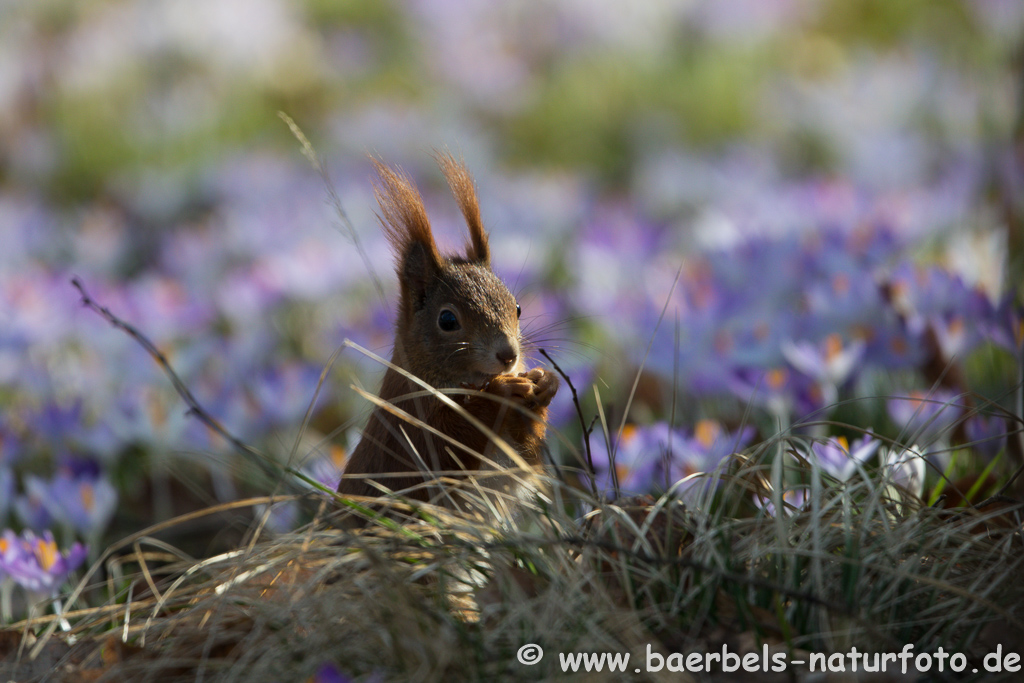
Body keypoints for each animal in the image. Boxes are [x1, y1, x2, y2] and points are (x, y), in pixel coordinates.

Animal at [337, 156, 561, 518]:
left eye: (517, 307)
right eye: (447, 319)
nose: (508, 356)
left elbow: (525, 457)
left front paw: (545, 383)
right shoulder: (410, 427)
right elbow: (446, 451)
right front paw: (500, 392)